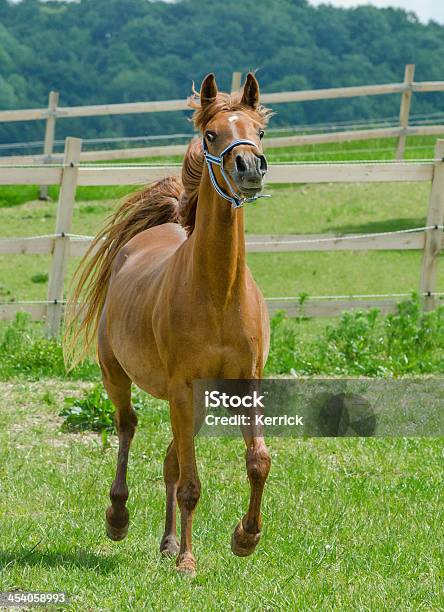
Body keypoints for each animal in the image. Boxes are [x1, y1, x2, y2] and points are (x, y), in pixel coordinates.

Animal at [65, 73, 272, 572]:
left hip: (192, 403)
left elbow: (256, 461)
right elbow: (191, 484)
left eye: (259, 130)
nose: (249, 168)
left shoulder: (245, 384)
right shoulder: (180, 387)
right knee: (127, 426)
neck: (218, 294)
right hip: (116, 375)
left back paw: (168, 541)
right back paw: (118, 518)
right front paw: (189, 564)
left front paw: (245, 537)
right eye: (211, 134)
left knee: (169, 463)